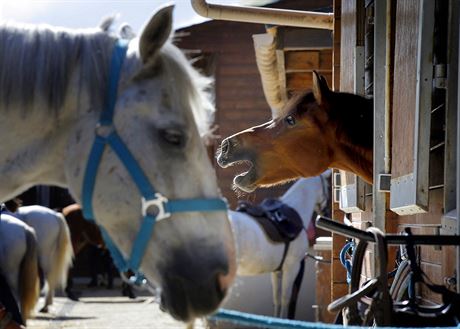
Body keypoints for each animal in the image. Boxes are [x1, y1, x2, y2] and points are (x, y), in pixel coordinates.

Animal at [230, 169, 330, 318]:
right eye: (328, 187)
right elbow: (285, 299)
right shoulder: (292, 267)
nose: (327, 213)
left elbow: (276, 299)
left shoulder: (277, 271)